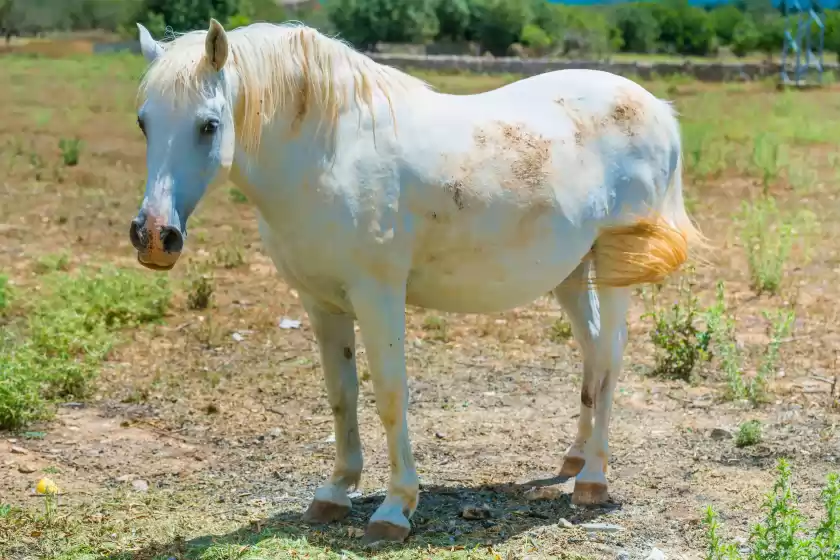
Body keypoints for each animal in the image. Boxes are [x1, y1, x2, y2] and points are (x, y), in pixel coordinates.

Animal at [131, 20, 704, 544]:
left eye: (208, 125)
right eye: (143, 122)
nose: (155, 235)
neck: (328, 152)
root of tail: (657, 109)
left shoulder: (378, 296)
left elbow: (389, 394)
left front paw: (395, 507)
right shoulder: (321, 303)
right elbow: (341, 395)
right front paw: (335, 492)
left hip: (615, 268)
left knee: (608, 359)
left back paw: (593, 480)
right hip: (571, 272)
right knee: (590, 353)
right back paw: (574, 458)